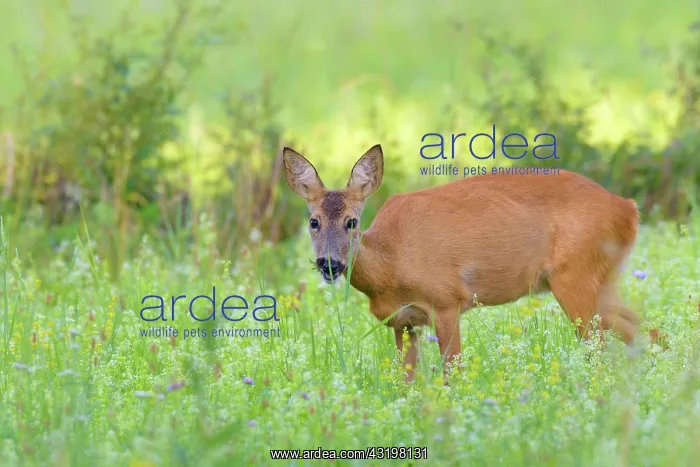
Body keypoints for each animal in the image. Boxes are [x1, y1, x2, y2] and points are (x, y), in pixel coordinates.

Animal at [282, 144, 641, 383]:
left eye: (352, 222)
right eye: (314, 222)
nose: (329, 264)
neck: (391, 263)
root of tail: (628, 208)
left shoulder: (447, 301)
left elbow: (453, 374)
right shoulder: (403, 322)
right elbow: (408, 382)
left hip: (575, 276)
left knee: (603, 349)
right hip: (601, 281)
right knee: (644, 330)